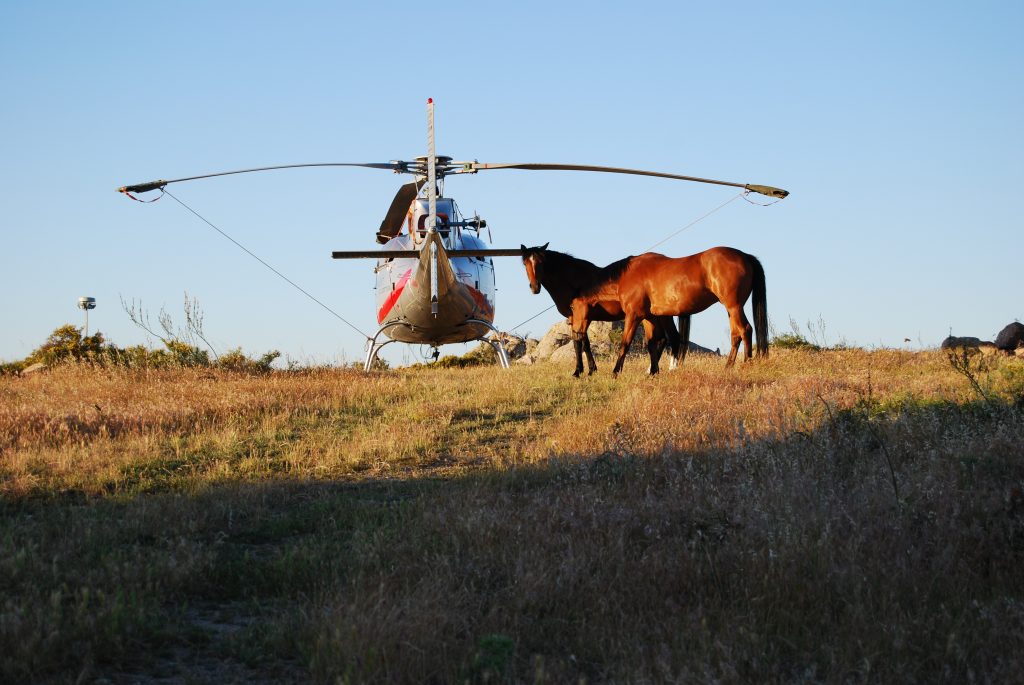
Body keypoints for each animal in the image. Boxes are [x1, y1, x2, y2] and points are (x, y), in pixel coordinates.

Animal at [520, 244, 681, 376]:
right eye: (524, 263)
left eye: (541, 262)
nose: (535, 287)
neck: (576, 281)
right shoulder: (577, 318)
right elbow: (583, 342)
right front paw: (590, 370)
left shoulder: (580, 316)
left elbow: (579, 341)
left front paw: (579, 371)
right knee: (662, 339)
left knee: (670, 337)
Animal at [569, 246, 767, 376]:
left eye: (571, 307)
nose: (574, 329)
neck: (627, 276)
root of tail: (745, 256)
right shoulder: (649, 317)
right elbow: (652, 343)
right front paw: (653, 372)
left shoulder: (634, 315)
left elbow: (625, 343)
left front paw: (616, 372)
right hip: (731, 309)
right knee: (736, 334)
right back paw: (728, 367)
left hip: (734, 307)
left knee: (745, 330)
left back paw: (746, 364)